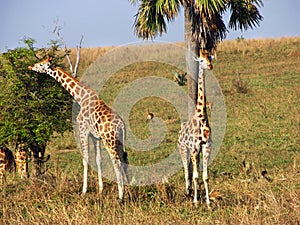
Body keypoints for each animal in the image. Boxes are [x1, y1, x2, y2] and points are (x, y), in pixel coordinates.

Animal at [29, 58, 129, 200]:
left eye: (41, 64)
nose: (31, 66)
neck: (81, 97)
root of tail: (121, 125)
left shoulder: (83, 130)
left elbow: (85, 159)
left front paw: (84, 191)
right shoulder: (95, 136)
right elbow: (98, 160)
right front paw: (100, 190)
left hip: (109, 140)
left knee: (117, 162)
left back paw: (121, 196)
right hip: (119, 141)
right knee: (124, 159)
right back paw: (126, 189)